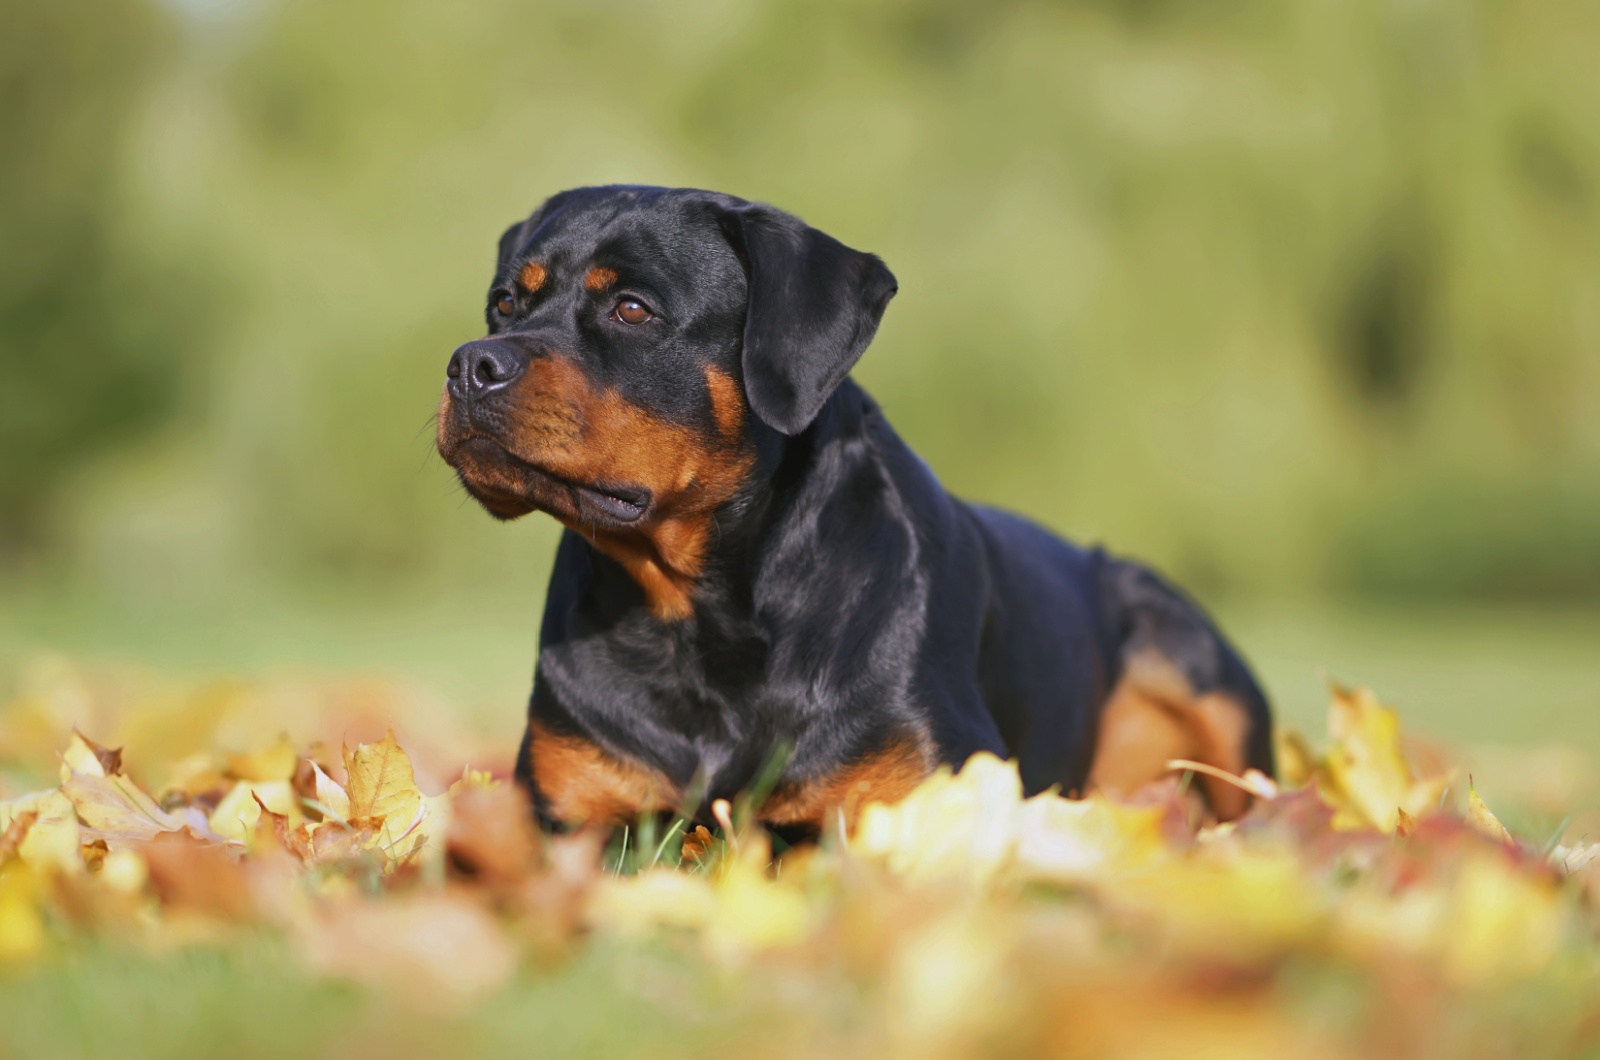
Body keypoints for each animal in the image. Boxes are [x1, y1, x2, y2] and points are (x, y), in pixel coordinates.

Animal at [438, 184, 1273, 839]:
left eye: (632, 309)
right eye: (505, 302)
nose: (471, 363)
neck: (695, 616)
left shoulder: (935, 787)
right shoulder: (561, 812)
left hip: (1189, 654)